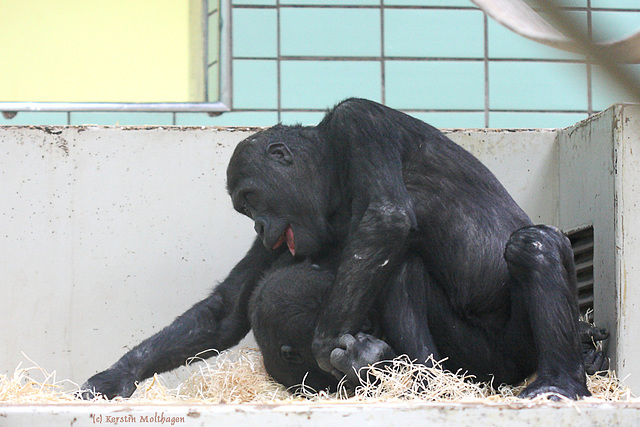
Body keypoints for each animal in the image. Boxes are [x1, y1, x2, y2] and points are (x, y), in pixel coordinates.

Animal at [80, 98, 600, 402]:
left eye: (248, 199)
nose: (261, 225)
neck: (333, 179)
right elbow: (225, 312)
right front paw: (116, 376)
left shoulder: (360, 121)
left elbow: (386, 219)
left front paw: (333, 348)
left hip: (506, 356)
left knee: (527, 247)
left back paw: (558, 380)